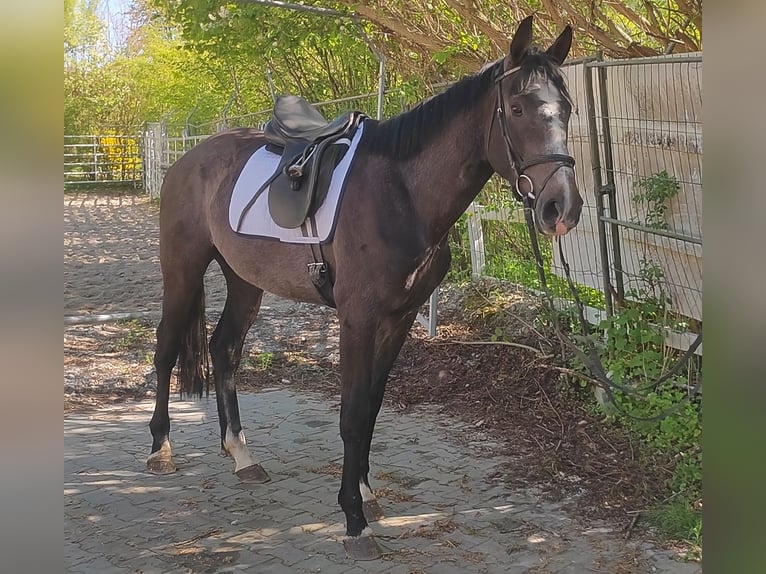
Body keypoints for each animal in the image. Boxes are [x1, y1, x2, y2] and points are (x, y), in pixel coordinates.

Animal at [146, 15, 583, 560]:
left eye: (566, 108)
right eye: (519, 107)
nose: (561, 208)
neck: (402, 193)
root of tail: (189, 159)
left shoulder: (398, 319)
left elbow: (372, 408)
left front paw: (367, 494)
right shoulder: (357, 318)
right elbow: (352, 414)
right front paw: (354, 520)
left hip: (244, 280)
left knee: (224, 348)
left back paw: (242, 456)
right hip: (182, 267)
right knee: (166, 348)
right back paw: (160, 449)